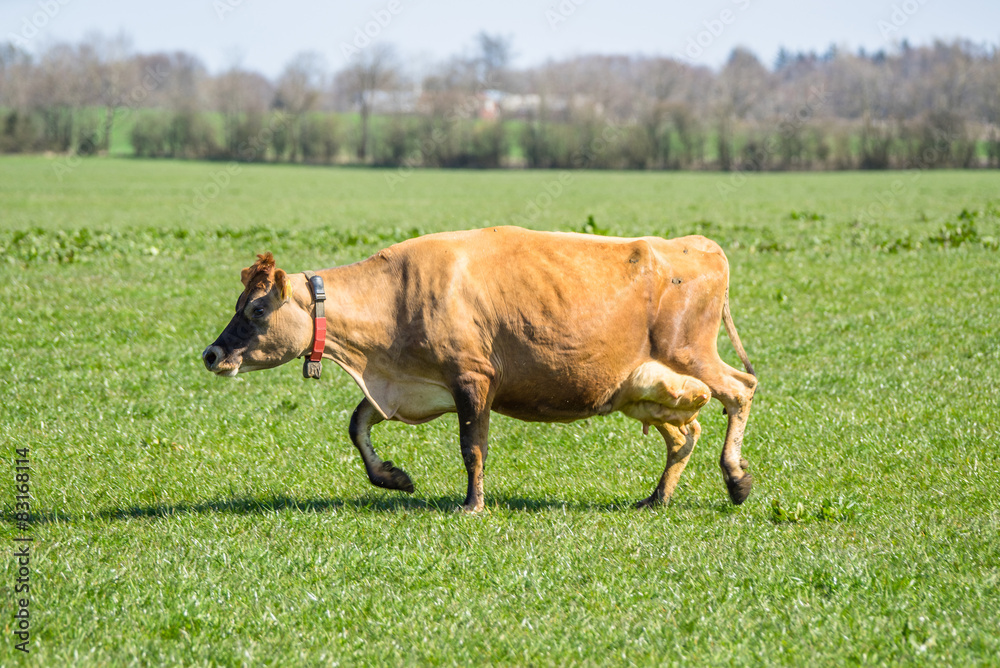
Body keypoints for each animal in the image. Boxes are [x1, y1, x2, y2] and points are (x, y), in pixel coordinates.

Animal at [202, 226, 757, 512]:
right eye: (239, 302)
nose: (211, 354)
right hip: (646, 389)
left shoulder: (473, 379)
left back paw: (736, 479)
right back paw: (656, 498)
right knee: (684, 434)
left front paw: (472, 504)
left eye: (257, 309)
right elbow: (358, 424)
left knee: (741, 388)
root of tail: (698, 243)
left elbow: (472, 447)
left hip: (692, 354)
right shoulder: (412, 386)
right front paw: (392, 476)